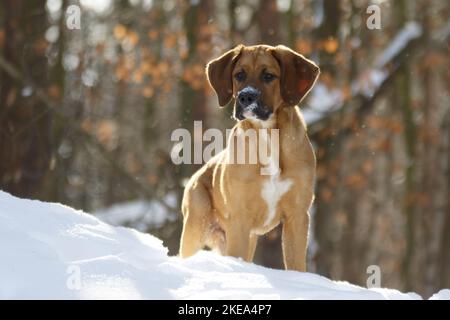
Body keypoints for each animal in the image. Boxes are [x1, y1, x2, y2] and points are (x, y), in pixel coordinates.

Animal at [179, 43, 320, 272]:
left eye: (269, 76)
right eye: (239, 75)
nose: (245, 97)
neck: (267, 135)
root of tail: (195, 177)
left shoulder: (297, 216)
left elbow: (296, 264)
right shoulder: (240, 218)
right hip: (196, 226)